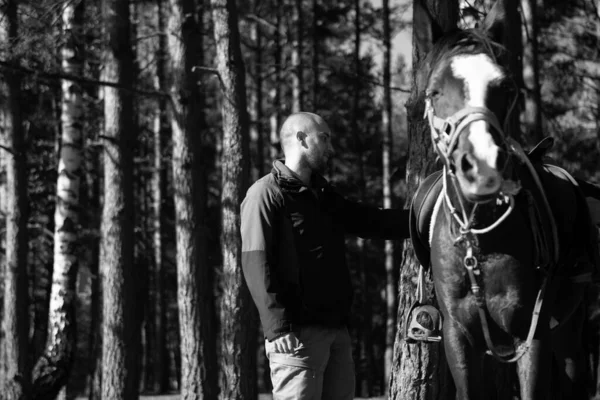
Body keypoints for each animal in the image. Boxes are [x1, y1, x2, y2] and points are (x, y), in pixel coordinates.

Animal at [406, 1, 596, 398]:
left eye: (505, 86)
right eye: (434, 91)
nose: (482, 165)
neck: (480, 241)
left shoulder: (530, 335)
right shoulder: (459, 339)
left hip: (568, 330)